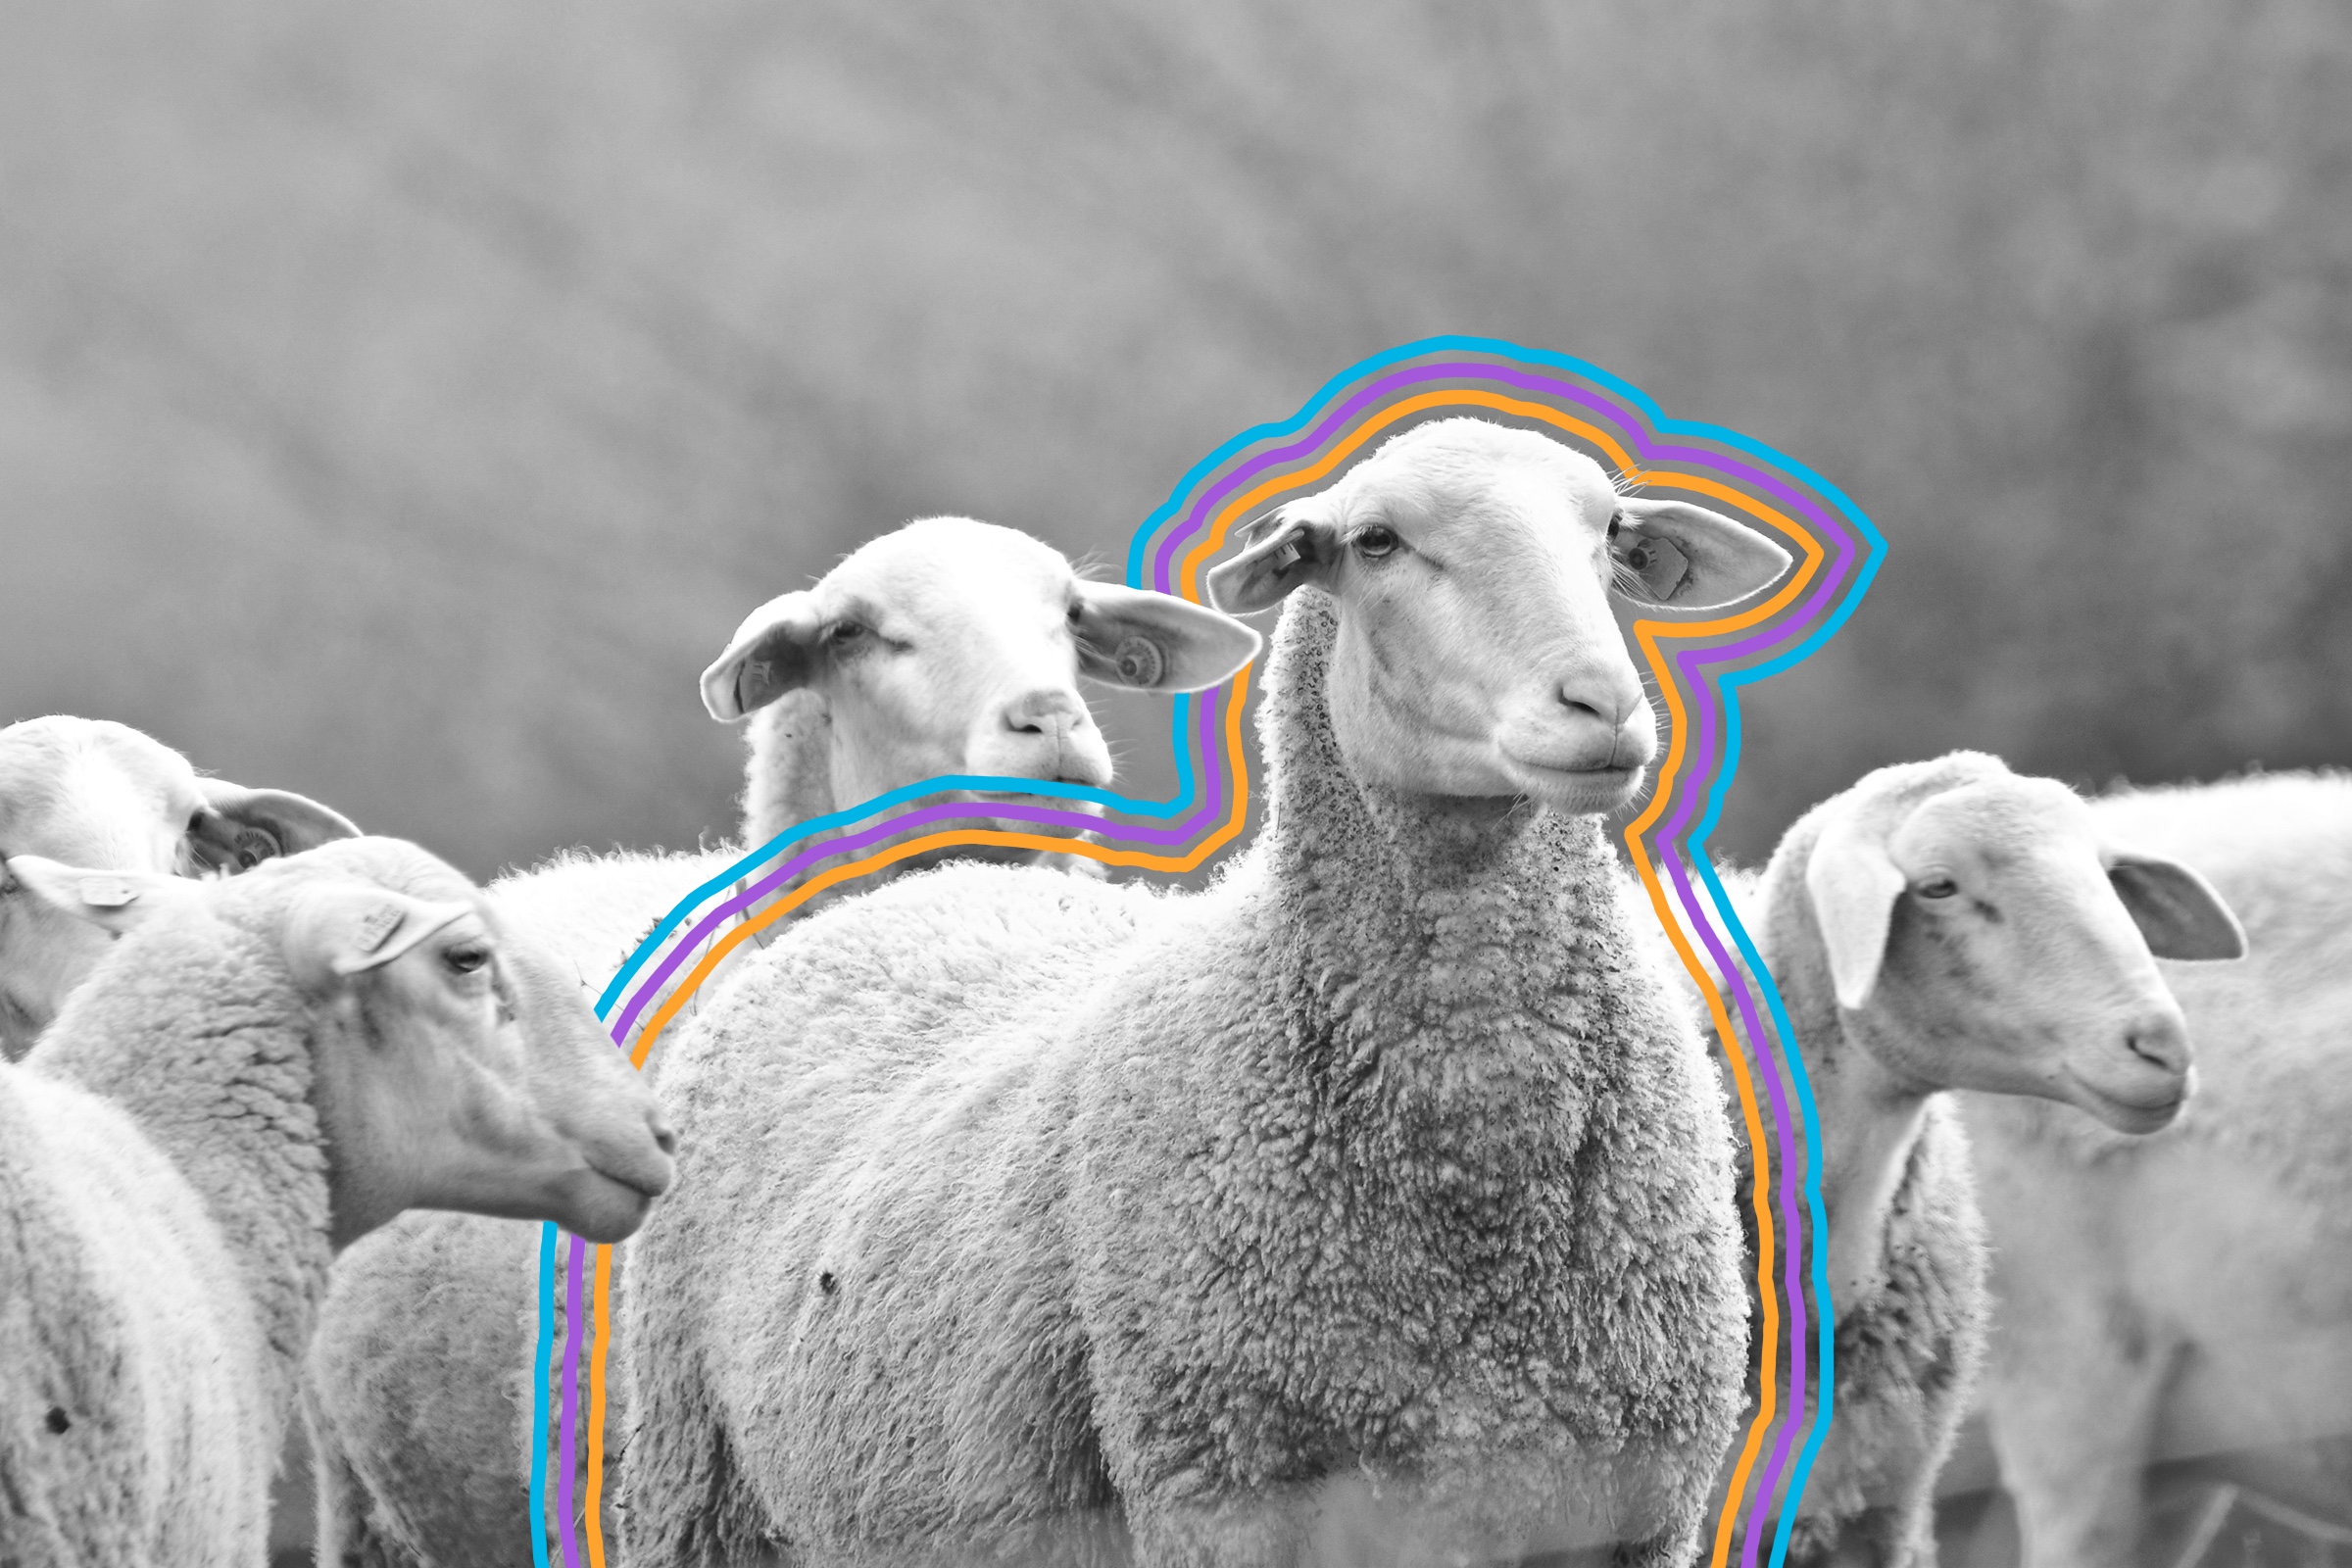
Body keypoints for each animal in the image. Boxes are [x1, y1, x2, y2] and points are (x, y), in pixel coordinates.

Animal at [618, 415, 1795, 1567]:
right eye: (1375, 542)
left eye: (1612, 536)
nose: (1603, 704)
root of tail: (937, 884)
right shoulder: (1218, 1483)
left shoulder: (1634, 1511)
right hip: (694, 1491)